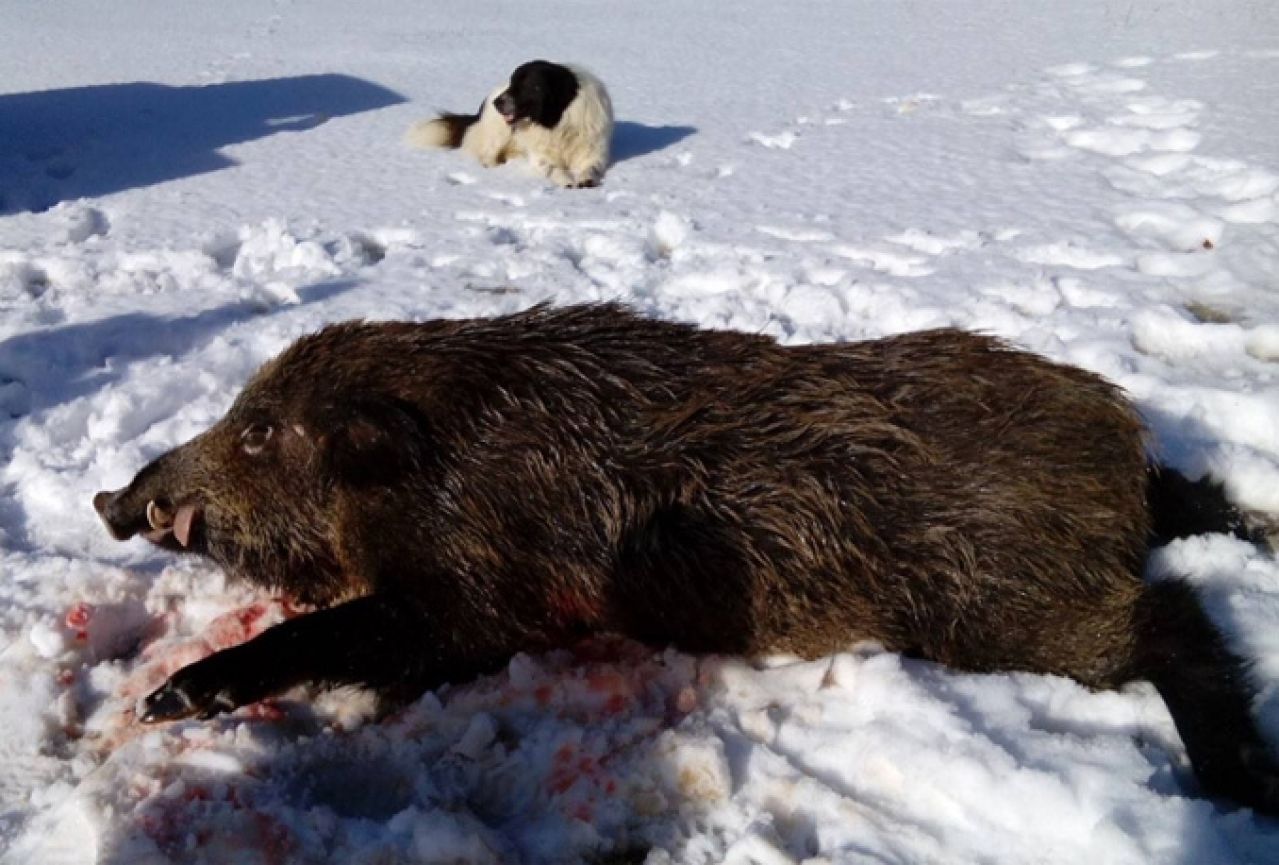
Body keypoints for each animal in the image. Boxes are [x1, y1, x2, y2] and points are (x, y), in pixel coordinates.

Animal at [406, 61, 611, 189]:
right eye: (512, 83)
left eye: (525, 85)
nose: (497, 102)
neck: (557, 121)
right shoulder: (541, 157)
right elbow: (554, 168)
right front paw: (566, 180)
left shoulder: (593, 151)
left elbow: (591, 167)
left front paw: (586, 179)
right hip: (499, 132)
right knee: (487, 155)